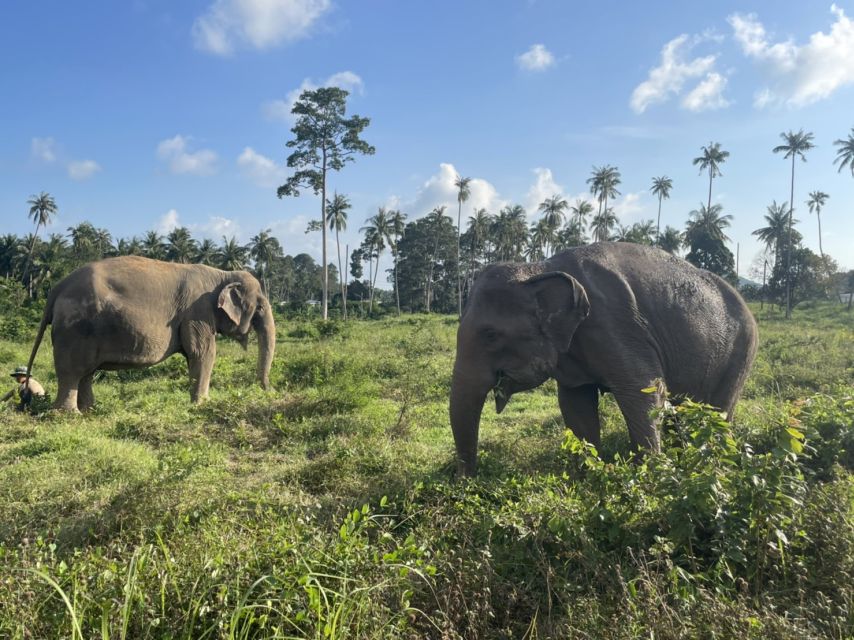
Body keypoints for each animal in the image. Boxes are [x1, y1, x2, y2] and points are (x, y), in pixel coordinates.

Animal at [26, 255, 276, 410]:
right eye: (260, 307)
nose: (268, 390)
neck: (222, 274)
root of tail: (57, 288)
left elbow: (194, 355)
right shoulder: (198, 311)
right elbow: (204, 353)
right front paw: (203, 404)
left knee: (86, 372)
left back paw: (90, 410)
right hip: (75, 328)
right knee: (73, 370)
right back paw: (70, 414)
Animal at [452, 240, 760, 476]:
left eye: (491, 335)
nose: (466, 481)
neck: (540, 268)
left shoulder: (618, 327)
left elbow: (644, 391)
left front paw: (648, 476)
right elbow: (576, 404)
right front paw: (587, 474)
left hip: (740, 356)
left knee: (717, 414)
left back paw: (716, 466)